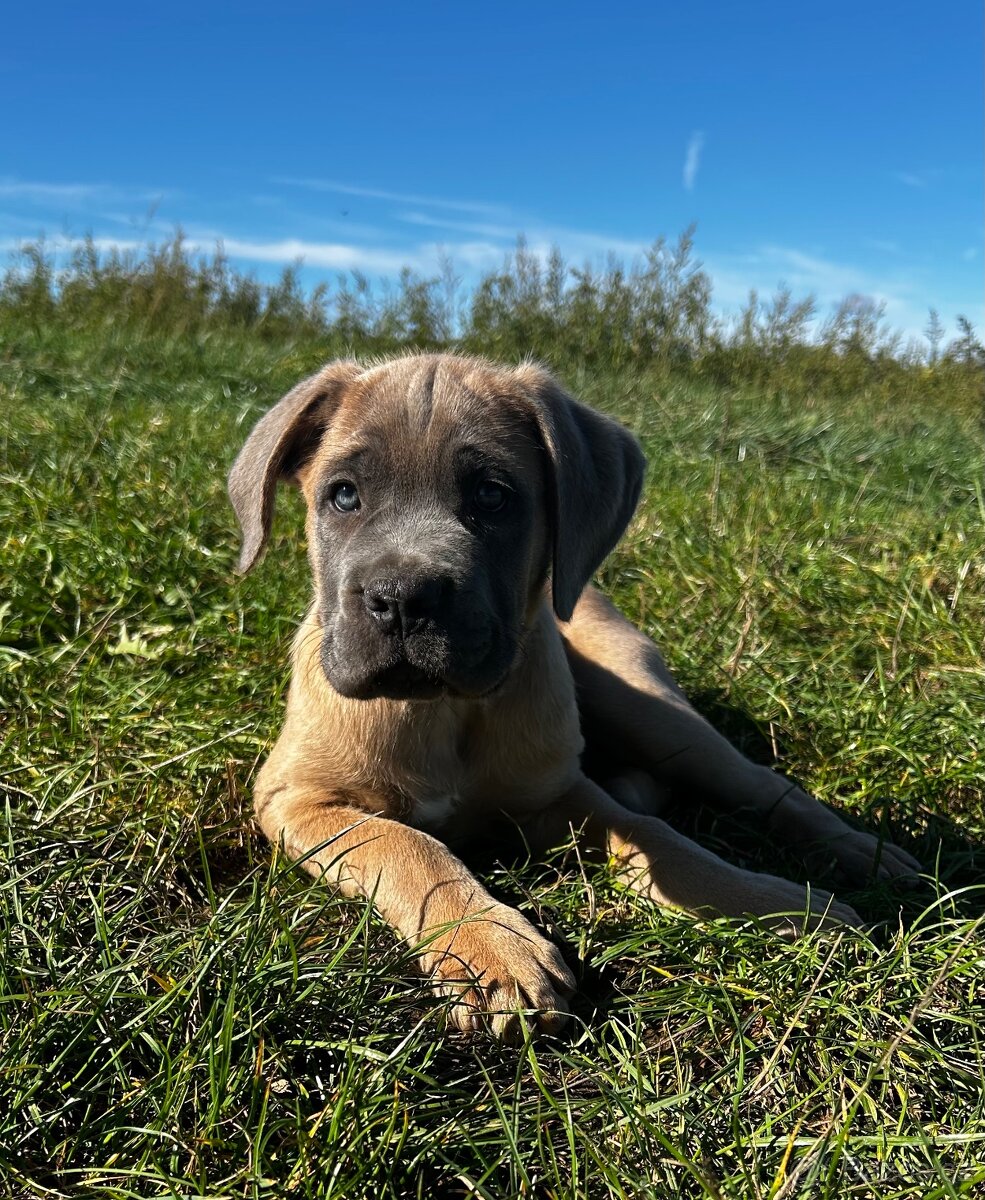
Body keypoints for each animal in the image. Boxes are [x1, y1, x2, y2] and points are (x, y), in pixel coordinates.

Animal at [226, 350, 916, 1036]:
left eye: (493, 497)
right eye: (343, 495)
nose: (403, 599)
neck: (441, 710)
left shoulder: (561, 792)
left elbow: (664, 839)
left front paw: (776, 905)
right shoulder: (297, 799)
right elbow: (406, 844)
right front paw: (489, 945)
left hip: (654, 714)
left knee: (759, 784)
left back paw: (869, 855)